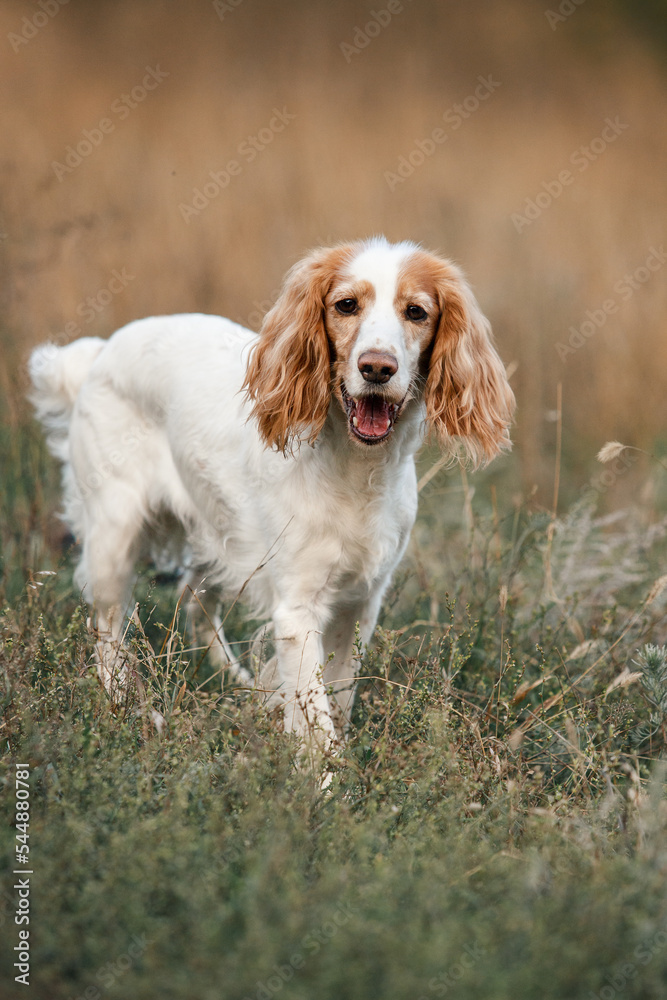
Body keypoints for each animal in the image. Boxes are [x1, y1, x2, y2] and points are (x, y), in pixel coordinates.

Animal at [28, 238, 516, 760]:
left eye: (416, 312)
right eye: (347, 305)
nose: (377, 367)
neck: (356, 468)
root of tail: (99, 353)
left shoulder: (360, 604)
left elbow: (338, 697)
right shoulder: (297, 610)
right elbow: (316, 722)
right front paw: (326, 777)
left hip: (221, 537)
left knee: (192, 600)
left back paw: (239, 685)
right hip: (113, 538)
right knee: (106, 628)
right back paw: (130, 708)